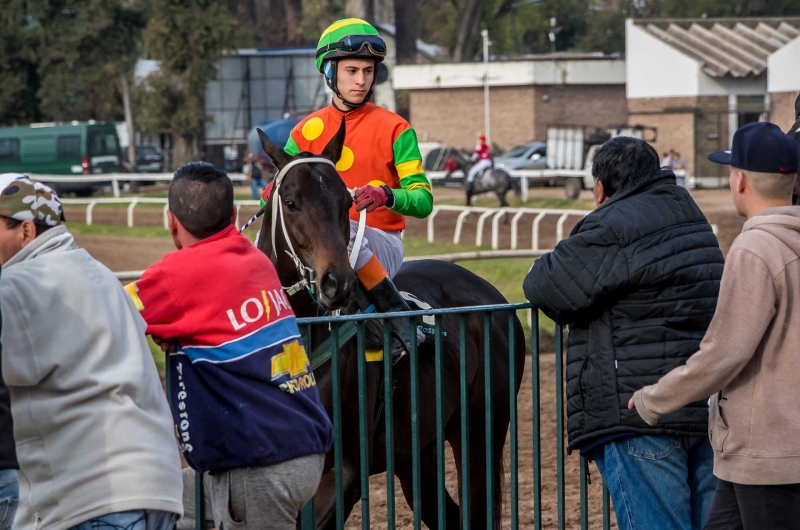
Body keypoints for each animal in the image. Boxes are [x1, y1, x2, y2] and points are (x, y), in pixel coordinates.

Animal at [253, 121, 520, 524]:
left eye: (347, 202)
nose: (337, 282)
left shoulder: (343, 473)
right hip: (416, 451)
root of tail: (489, 290)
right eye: (290, 202)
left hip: (479, 431)